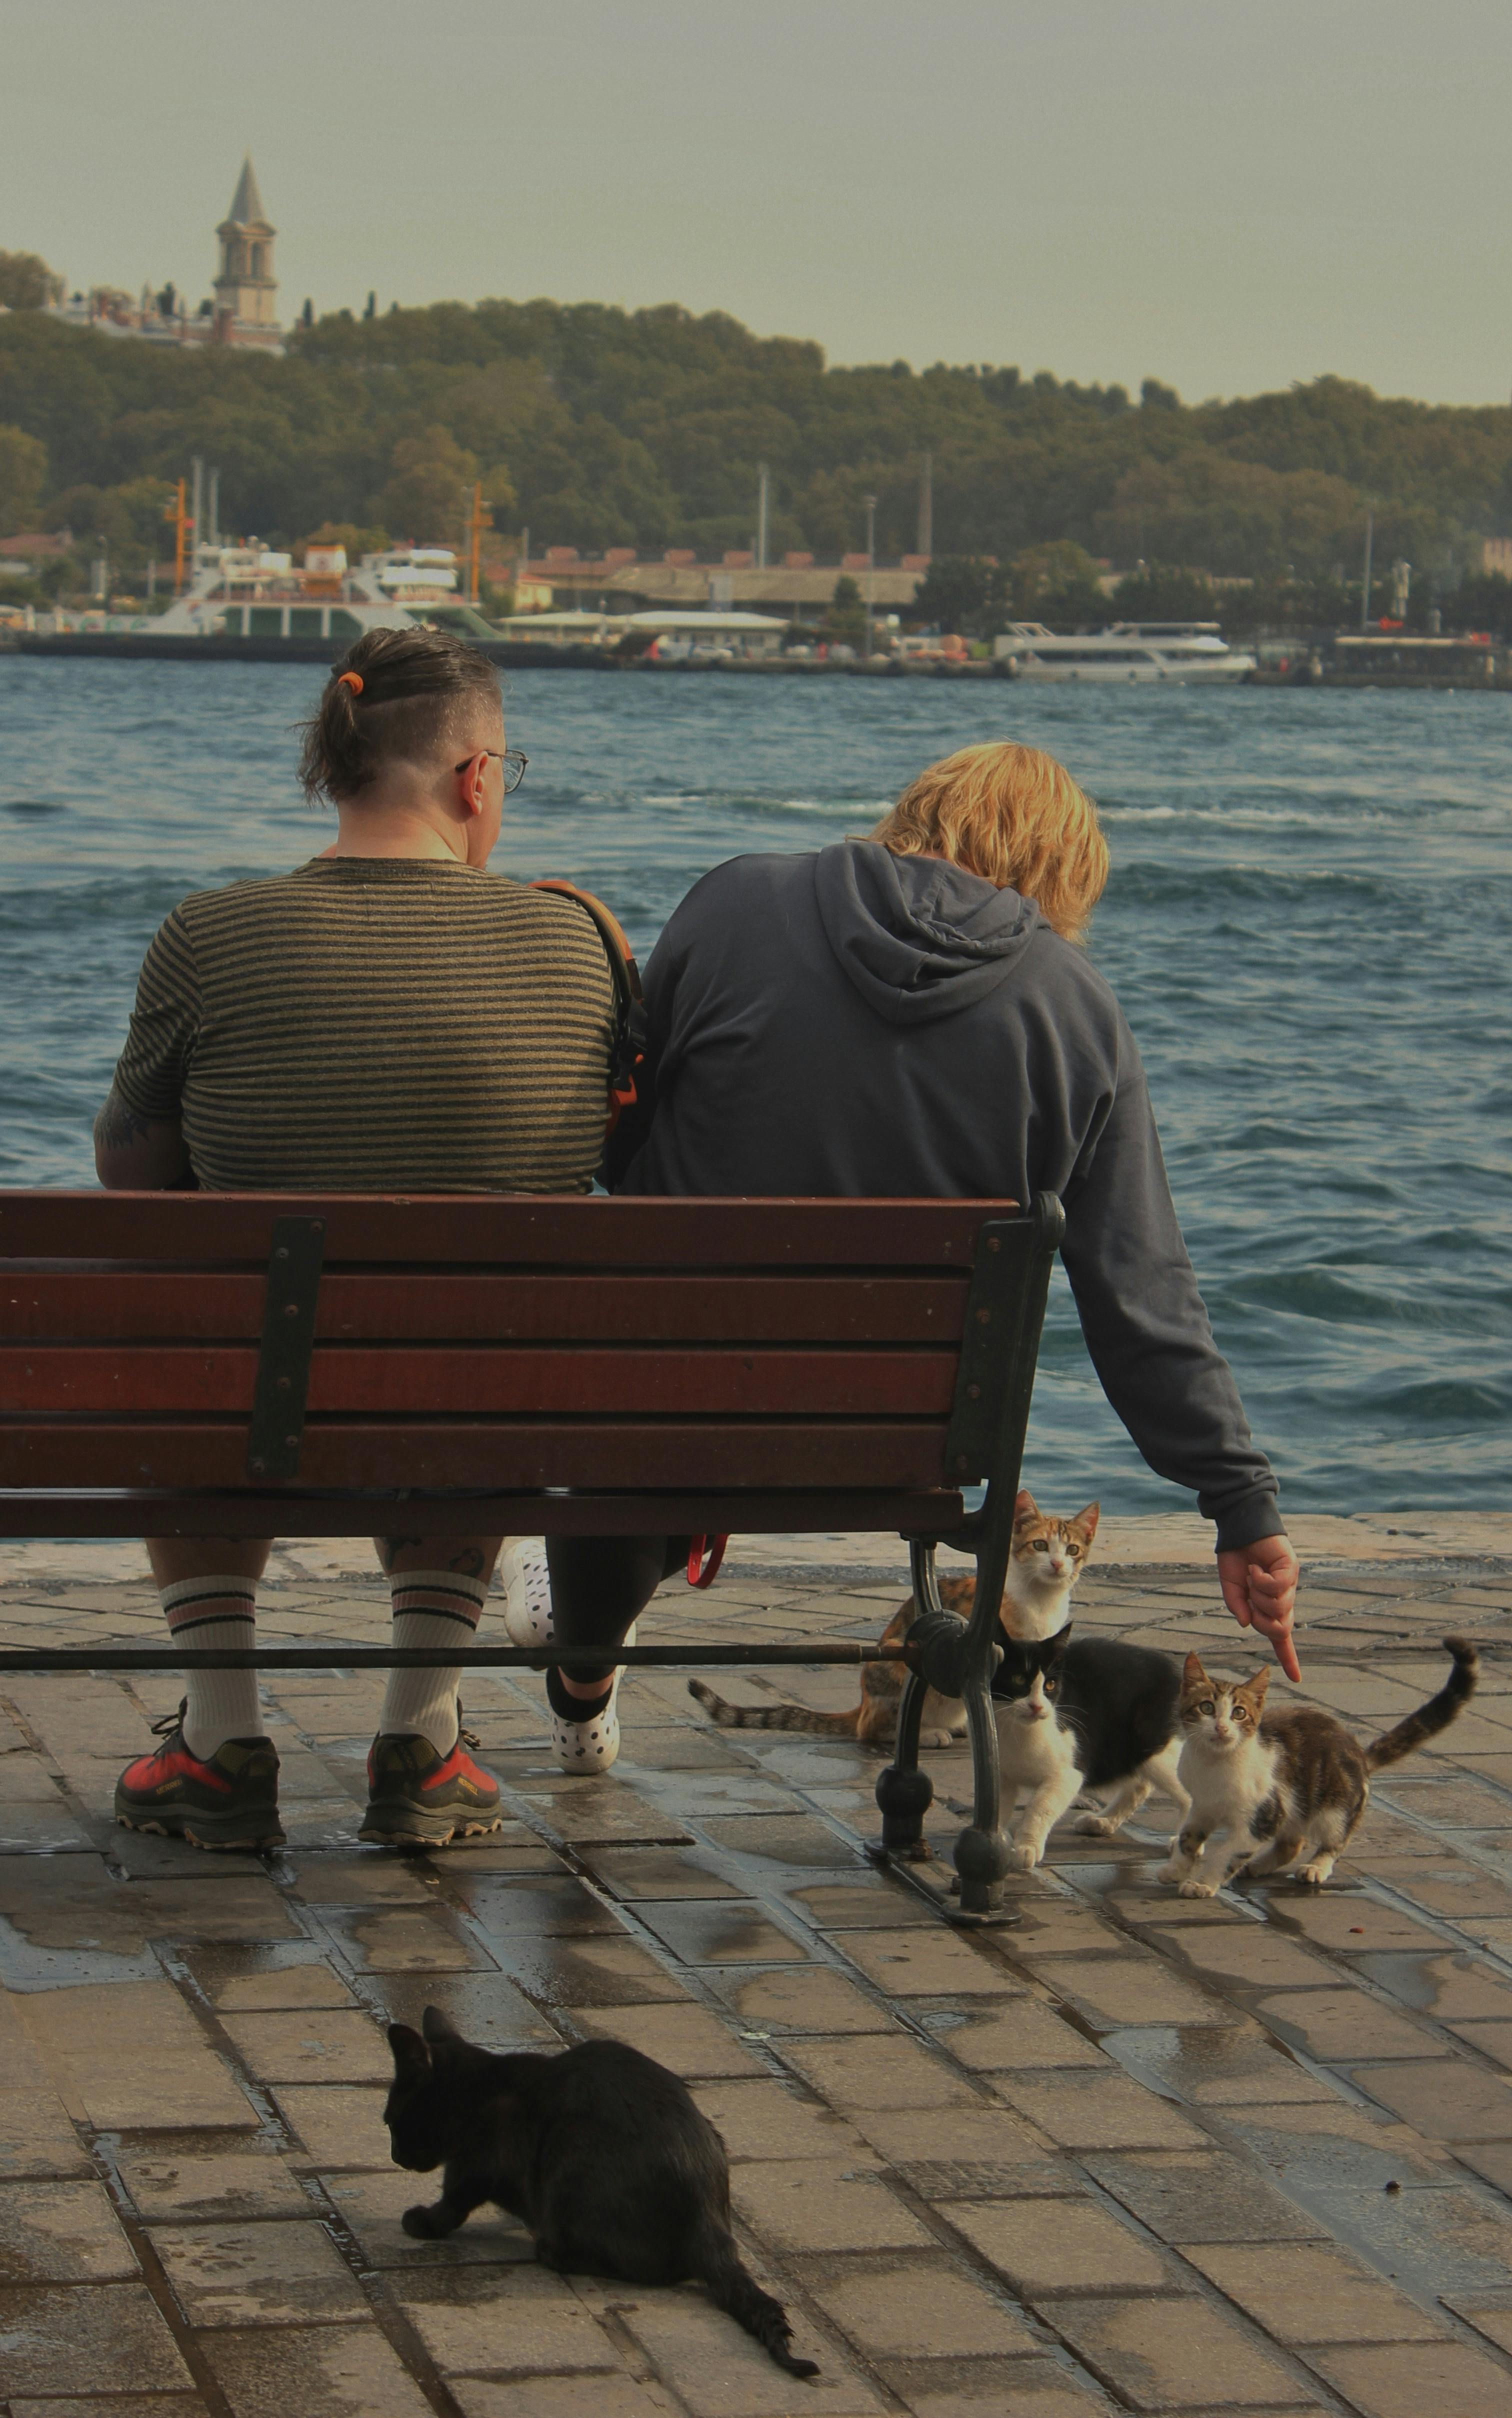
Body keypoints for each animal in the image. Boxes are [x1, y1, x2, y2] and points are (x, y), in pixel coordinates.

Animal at [382, 2002, 818, 2379]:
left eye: (389, 2121)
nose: (393, 2155)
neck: (478, 2091)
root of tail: (710, 2220)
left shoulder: (475, 2167)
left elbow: (452, 2202)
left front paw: (423, 2222)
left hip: (570, 2155)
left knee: (649, 2268)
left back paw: (553, 2250)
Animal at [687, 1480, 1098, 1750]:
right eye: (1040, 1545)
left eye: (1073, 1549)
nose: (1058, 1564)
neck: (1040, 1601)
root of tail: (861, 1704)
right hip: (900, 1662)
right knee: (873, 1730)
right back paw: (930, 1733)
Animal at [992, 1624, 1190, 1866]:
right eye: (1019, 1679)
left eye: (1050, 1685)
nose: (1036, 1707)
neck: (1019, 1730)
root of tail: (1176, 1672)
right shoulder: (1001, 1773)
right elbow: (996, 1806)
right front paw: (995, 1844)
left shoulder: (1069, 1773)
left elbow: (1040, 1806)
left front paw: (1027, 1846)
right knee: (1140, 1785)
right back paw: (1102, 1822)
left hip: (1153, 1746)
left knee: (1189, 1794)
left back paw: (1183, 1842)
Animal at [1156, 1634, 1470, 1896]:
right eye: (1207, 1708)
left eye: (1239, 1713)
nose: (1221, 1728)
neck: (1215, 1765)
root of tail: (1359, 1752)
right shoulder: (1203, 1805)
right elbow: (1188, 1836)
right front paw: (1177, 1869)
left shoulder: (1263, 1816)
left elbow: (1227, 1852)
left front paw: (1202, 1883)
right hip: (1298, 1803)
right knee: (1292, 1843)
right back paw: (1257, 1865)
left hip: (1335, 1805)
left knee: (1336, 1839)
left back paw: (1317, 1866)